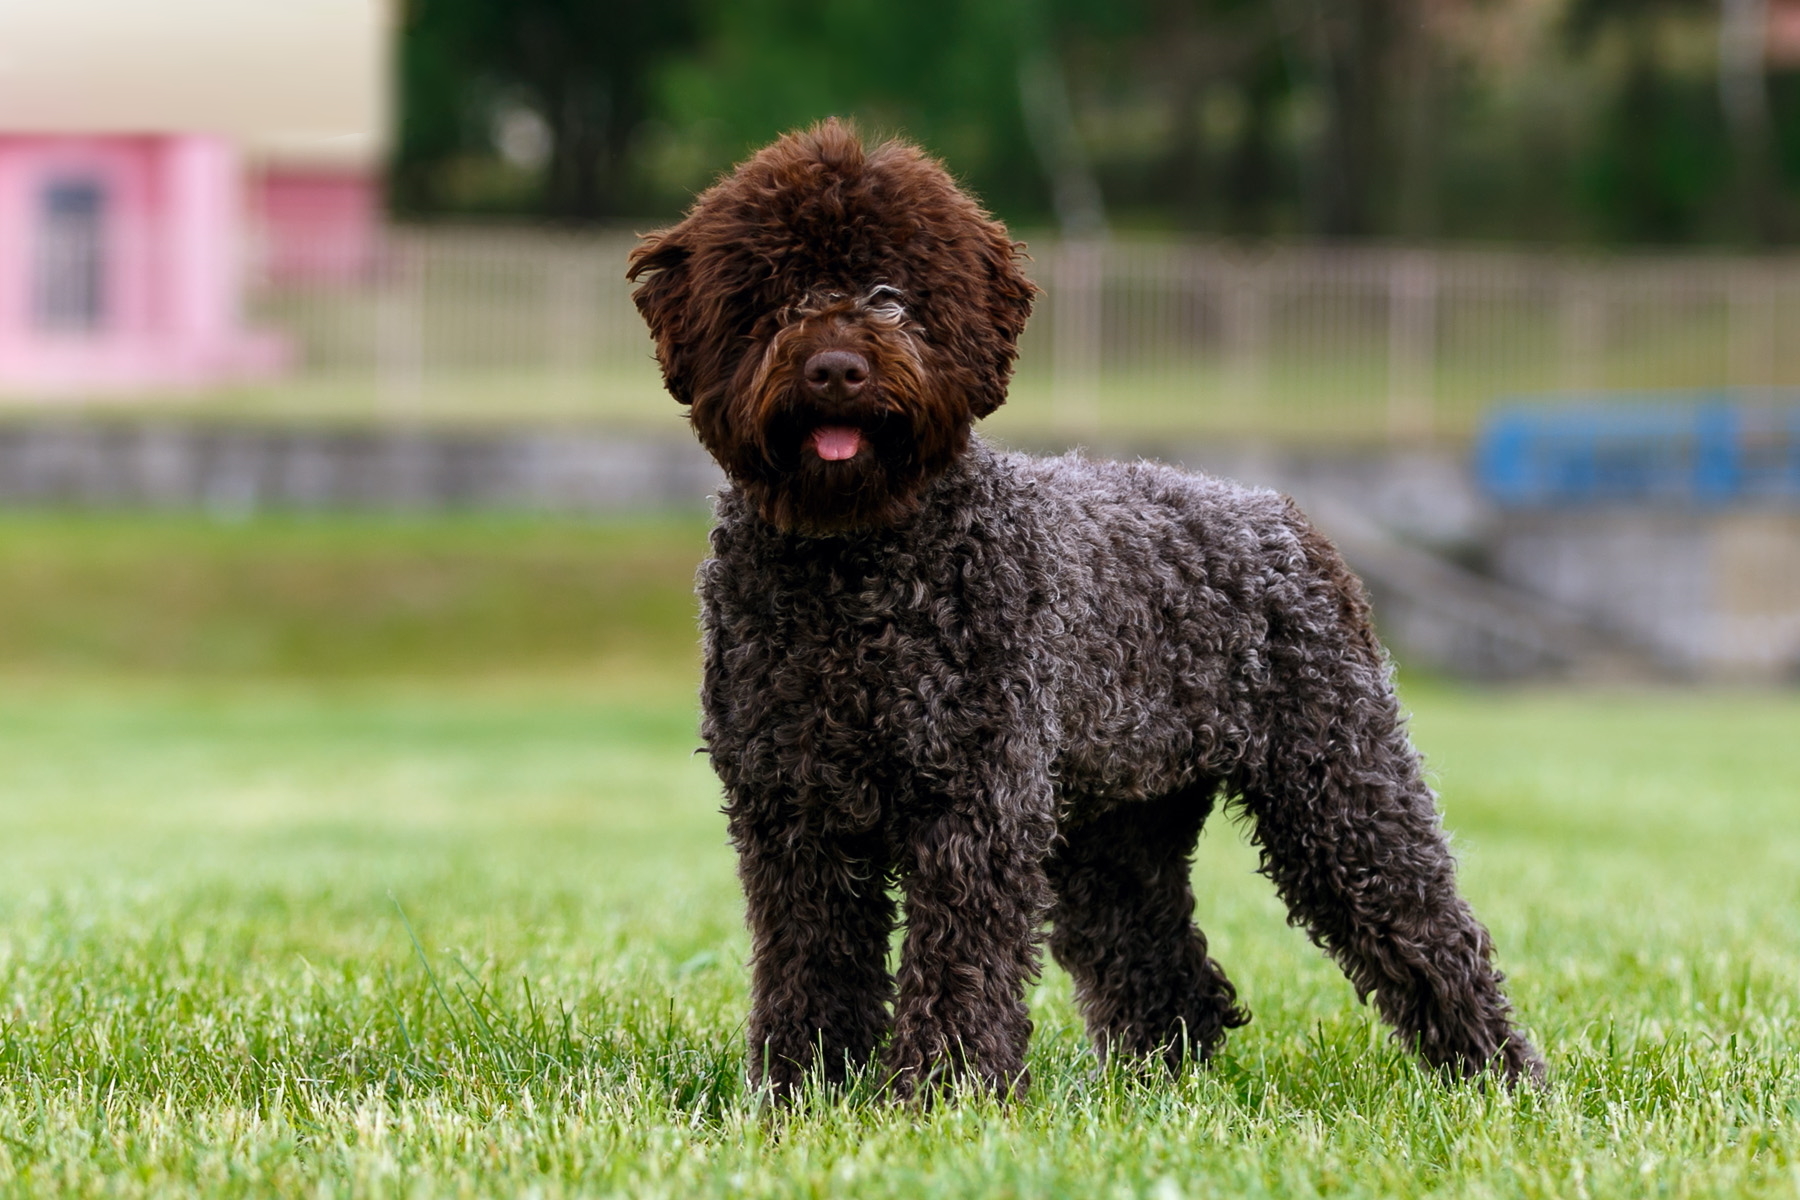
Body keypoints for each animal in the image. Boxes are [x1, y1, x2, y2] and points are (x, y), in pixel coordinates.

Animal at [626, 116, 1540, 1101]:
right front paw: (805, 1088)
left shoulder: (976, 804)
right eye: (777, 295)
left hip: (1343, 790)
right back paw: (1157, 1087)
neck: (855, 572)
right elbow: (811, 959)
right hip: (1120, 828)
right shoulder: (793, 811)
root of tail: (1284, 516)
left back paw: (1501, 1078)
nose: (838, 368)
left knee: (1433, 933)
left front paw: (946, 1091)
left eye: (892, 292)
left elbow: (958, 960)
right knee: (1167, 967)